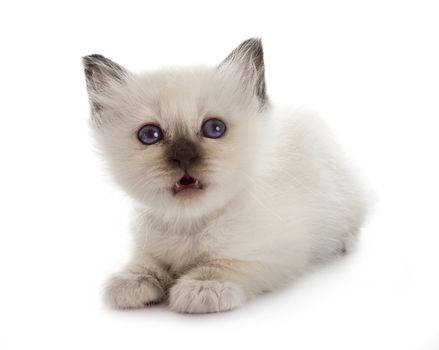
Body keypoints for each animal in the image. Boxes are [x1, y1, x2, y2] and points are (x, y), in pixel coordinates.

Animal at [81, 39, 368, 314]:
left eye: (214, 129)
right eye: (149, 135)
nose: (184, 156)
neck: (189, 225)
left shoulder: (278, 252)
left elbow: (223, 265)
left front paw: (203, 286)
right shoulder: (148, 246)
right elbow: (146, 264)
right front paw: (132, 282)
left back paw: (346, 243)